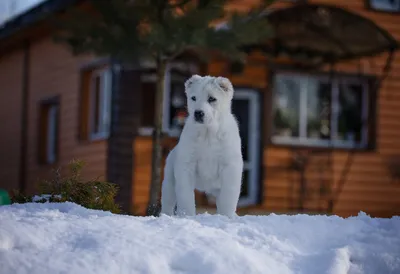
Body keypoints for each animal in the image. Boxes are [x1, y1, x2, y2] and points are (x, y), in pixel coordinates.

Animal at [160, 74, 244, 217]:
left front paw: (227, 216)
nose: (198, 113)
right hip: (169, 181)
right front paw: (186, 215)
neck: (208, 134)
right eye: (193, 98)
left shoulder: (230, 166)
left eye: (212, 99)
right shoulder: (186, 165)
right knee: (168, 202)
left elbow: (228, 195)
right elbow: (185, 195)